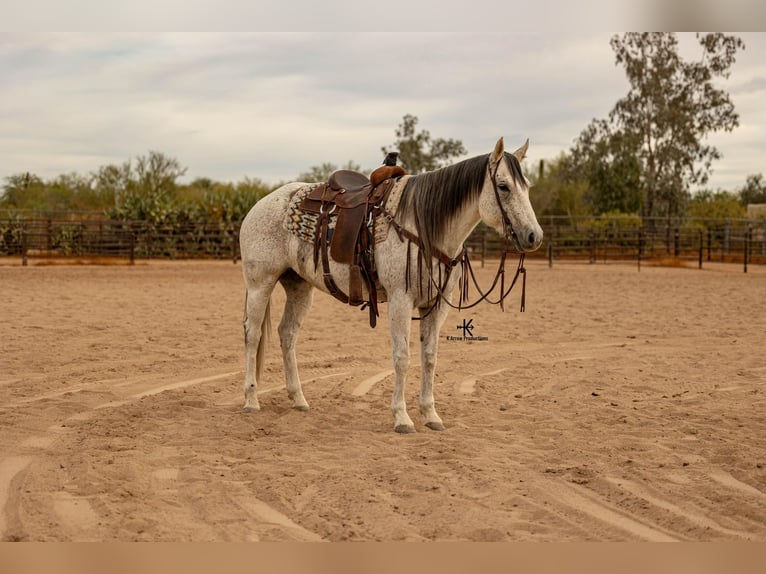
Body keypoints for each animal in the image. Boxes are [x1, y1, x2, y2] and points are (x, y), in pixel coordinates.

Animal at [240, 140, 544, 434]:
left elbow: (429, 357)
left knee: (287, 334)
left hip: (299, 287)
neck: (424, 227)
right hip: (260, 284)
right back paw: (251, 399)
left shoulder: (437, 304)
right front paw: (402, 417)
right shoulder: (400, 301)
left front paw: (431, 415)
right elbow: (402, 357)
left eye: (527, 186)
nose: (534, 236)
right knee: (253, 335)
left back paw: (298, 399)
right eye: (503, 186)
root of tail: (260, 205)